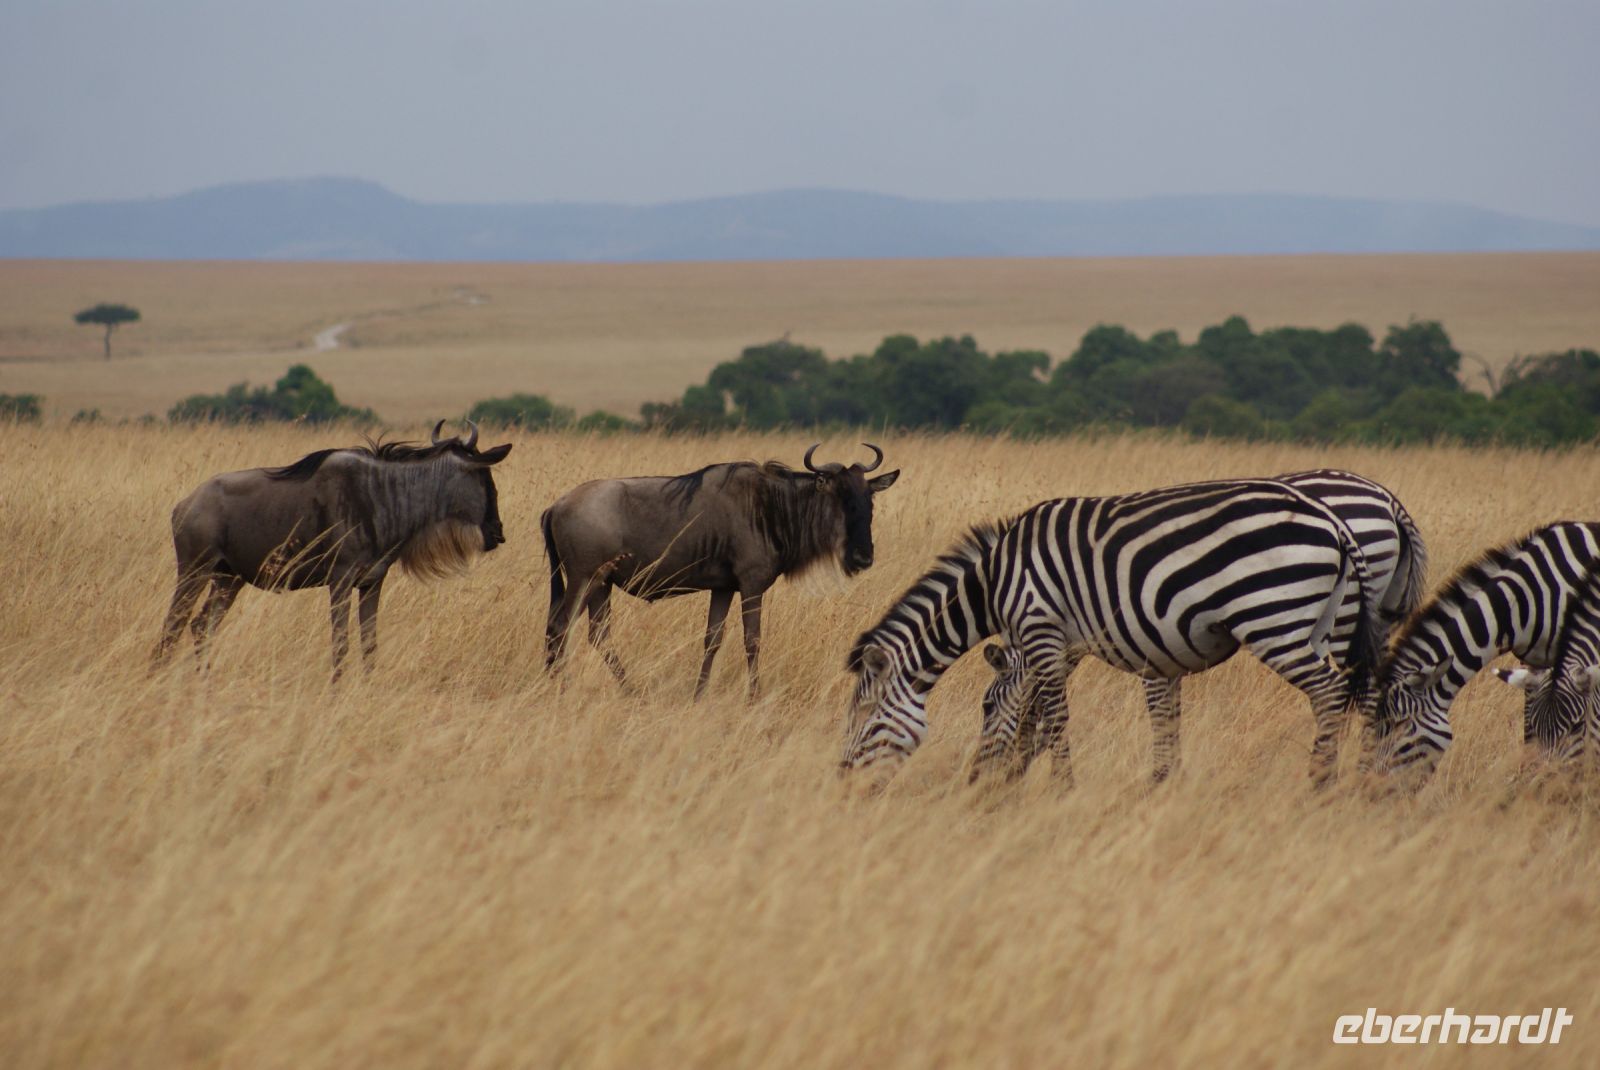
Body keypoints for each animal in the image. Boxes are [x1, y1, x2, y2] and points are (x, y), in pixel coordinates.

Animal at [841, 478, 1382, 788]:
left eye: (864, 718)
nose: (843, 786)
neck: (996, 580)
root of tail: (1332, 521)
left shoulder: (1040, 628)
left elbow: (1053, 715)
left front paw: (1060, 788)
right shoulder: (1060, 644)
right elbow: (1036, 712)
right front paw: (1011, 784)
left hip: (1274, 617)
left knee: (1329, 692)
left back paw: (1319, 783)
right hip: (1324, 624)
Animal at [981, 469, 1427, 782]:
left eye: (984, 707)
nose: (978, 779)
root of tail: (1389, 502)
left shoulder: (1136, 637)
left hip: (1323, 616)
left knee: (1346, 690)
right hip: (1363, 619)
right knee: (1374, 689)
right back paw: (1365, 769)